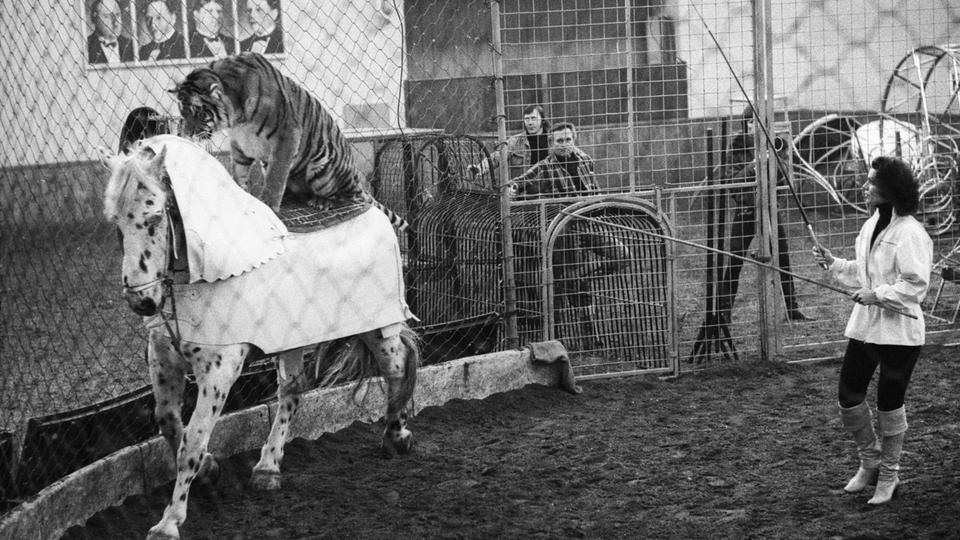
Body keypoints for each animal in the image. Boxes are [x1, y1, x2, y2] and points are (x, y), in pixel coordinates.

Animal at [98, 139, 420, 540]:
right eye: (116, 223)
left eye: (155, 217)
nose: (141, 301)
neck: (200, 278)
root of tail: (374, 208)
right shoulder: (163, 359)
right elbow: (169, 423)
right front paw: (210, 470)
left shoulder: (220, 368)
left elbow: (193, 439)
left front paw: (169, 522)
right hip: (295, 337)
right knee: (293, 391)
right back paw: (268, 468)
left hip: (378, 326)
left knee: (397, 369)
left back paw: (396, 436)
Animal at [172, 54, 404, 230]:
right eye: (182, 113)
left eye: (198, 113)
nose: (187, 134)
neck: (236, 117)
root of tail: (356, 180)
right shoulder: (240, 144)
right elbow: (239, 170)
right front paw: (242, 194)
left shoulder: (286, 135)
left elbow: (276, 176)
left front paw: (268, 204)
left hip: (324, 168)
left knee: (349, 198)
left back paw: (322, 201)